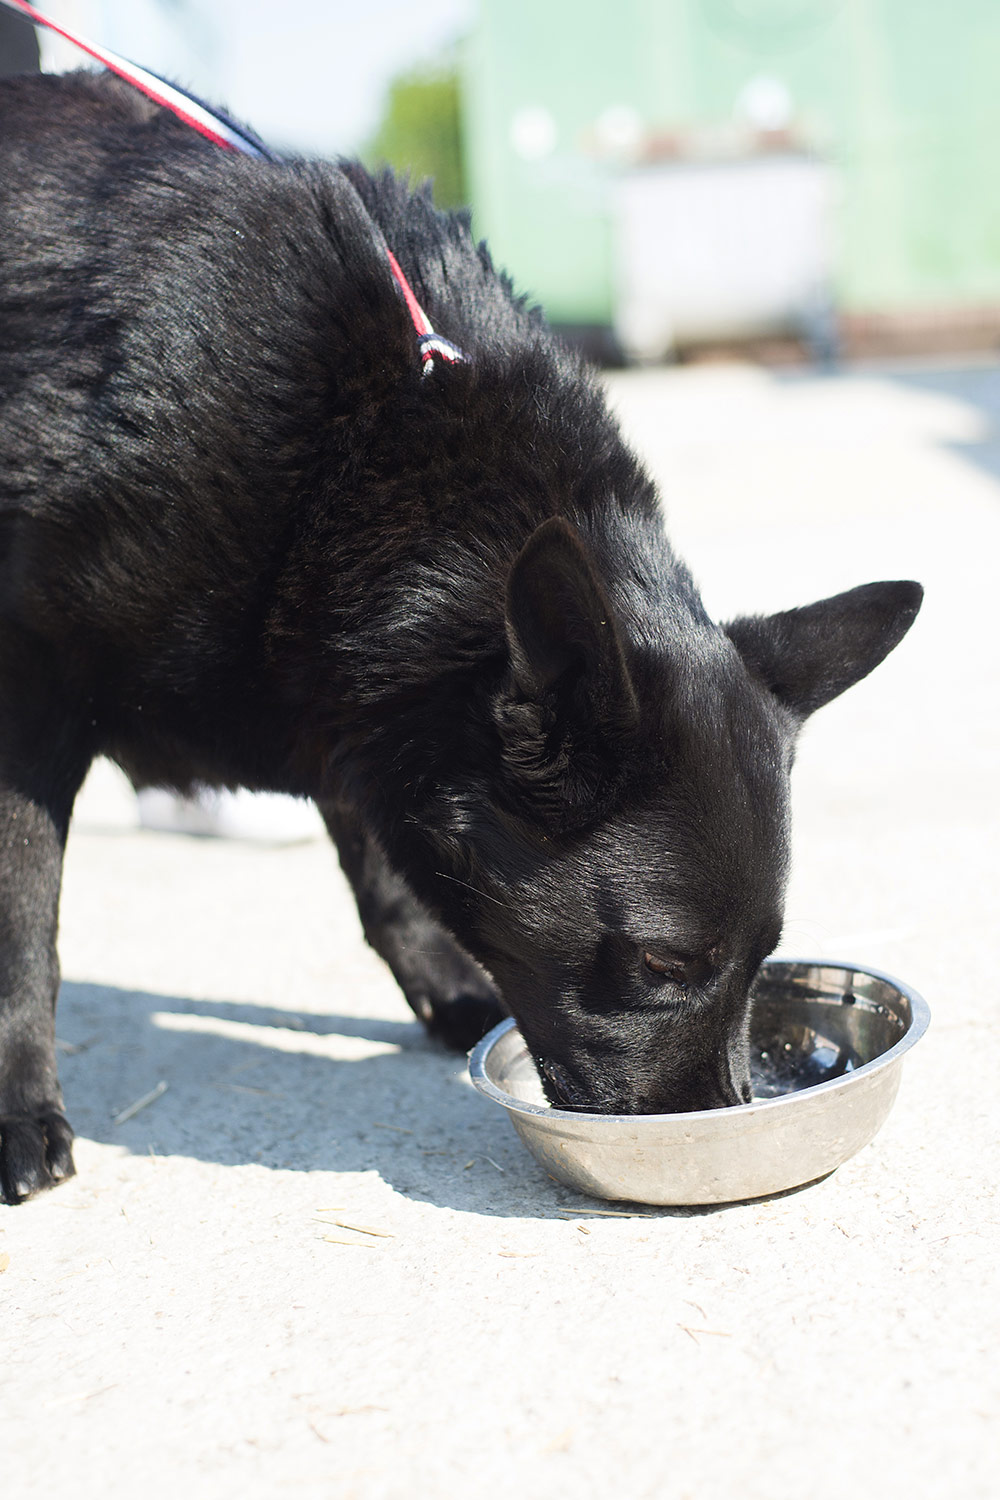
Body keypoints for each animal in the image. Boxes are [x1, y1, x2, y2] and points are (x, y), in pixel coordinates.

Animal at [0, 70, 923, 1200]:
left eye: (763, 958)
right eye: (665, 964)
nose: (718, 1122)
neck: (351, 468)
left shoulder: (345, 693)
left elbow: (380, 861)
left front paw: (440, 986)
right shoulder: (32, 690)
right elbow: (24, 924)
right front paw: (19, 1108)